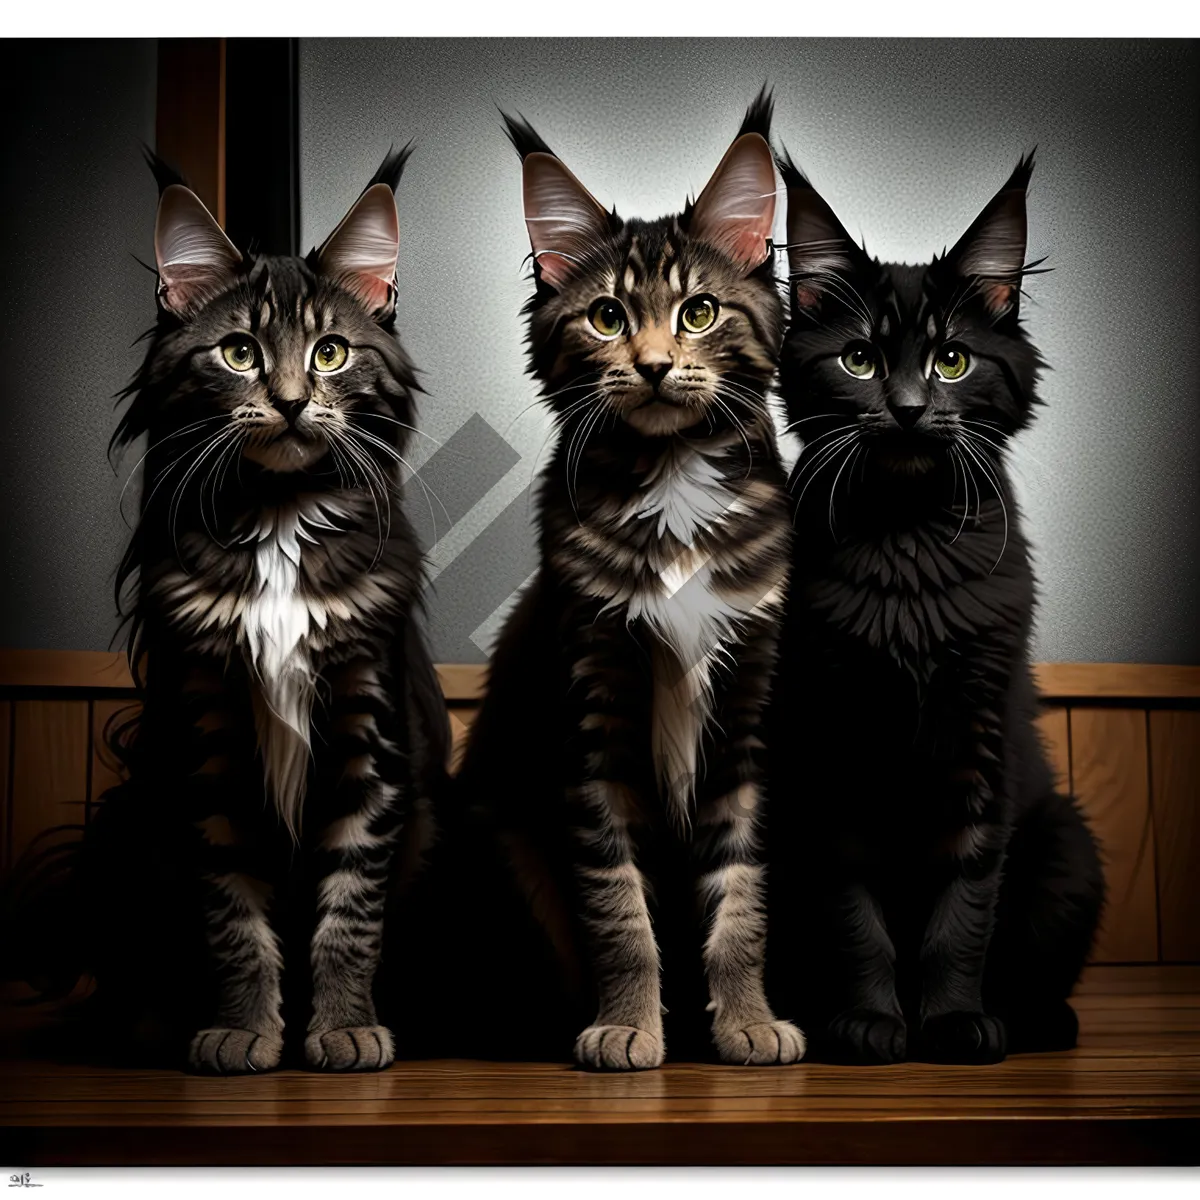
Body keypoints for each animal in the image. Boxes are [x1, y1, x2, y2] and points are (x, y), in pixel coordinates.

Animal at [85, 152, 446, 1080]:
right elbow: (233, 918)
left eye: (331, 351)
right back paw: (149, 1024)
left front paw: (347, 1030)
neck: (280, 518)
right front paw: (242, 1031)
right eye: (240, 352)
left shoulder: (367, 738)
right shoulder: (208, 743)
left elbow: (349, 913)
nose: (287, 401)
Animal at [453, 93, 811, 1070]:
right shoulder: (594, 711)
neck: (673, 477)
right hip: (503, 829)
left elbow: (742, 896)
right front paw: (628, 1023)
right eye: (608, 317)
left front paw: (748, 1020)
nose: (652, 364)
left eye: (698, 311)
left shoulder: (745, 715)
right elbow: (618, 907)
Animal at [768, 152, 1104, 1070]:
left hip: (1065, 842)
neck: (907, 546)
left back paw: (1034, 1018)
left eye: (953, 360)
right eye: (858, 360)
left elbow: (963, 913)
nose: (912, 408)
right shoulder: (836, 749)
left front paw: (953, 1023)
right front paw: (871, 1023)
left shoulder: (978, 744)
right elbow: (859, 918)